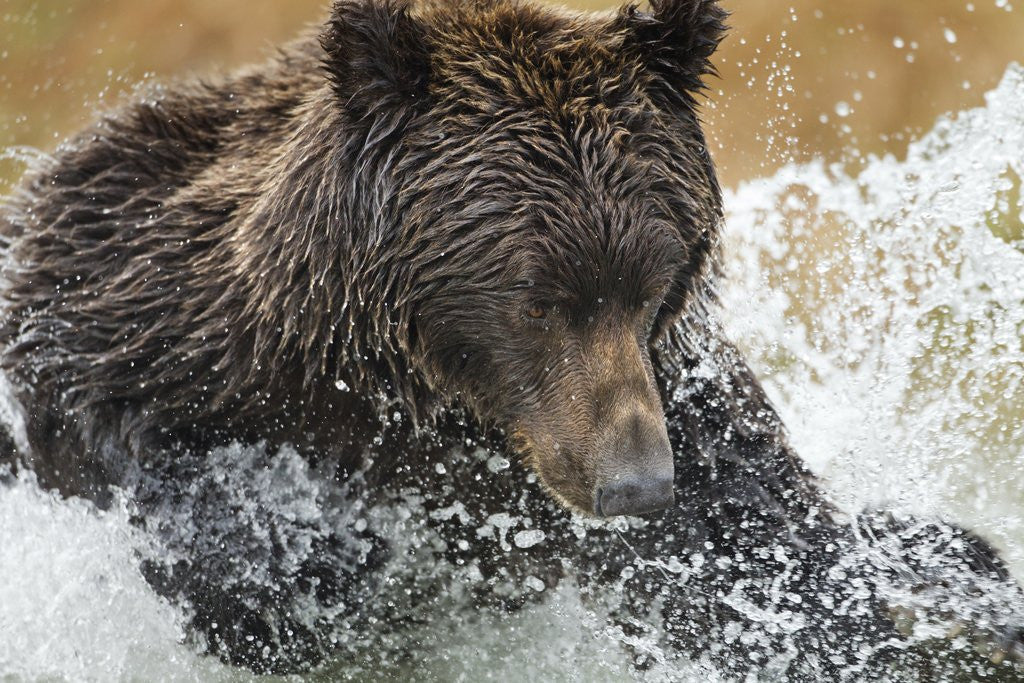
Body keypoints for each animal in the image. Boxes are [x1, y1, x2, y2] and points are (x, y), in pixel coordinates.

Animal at [1, 0, 1022, 677]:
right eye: (538, 299)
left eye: (651, 285)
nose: (636, 485)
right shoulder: (131, 297)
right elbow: (125, 437)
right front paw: (308, 561)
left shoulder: (678, 404)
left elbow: (770, 563)